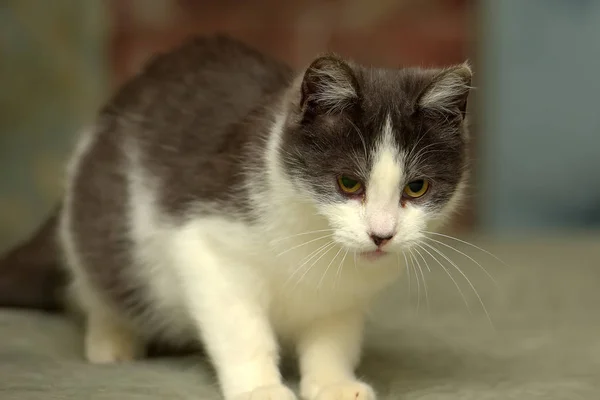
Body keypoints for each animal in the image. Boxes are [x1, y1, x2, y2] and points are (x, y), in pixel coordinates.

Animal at [0, 35, 472, 400]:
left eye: (416, 188)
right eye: (348, 183)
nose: (382, 234)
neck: (314, 242)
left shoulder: (346, 295)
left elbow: (332, 336)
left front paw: (333, 383)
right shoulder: (206, 243)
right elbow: (241, 327)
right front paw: (260, 388)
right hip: (102, 217)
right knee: (96, 279)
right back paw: (111, 338)